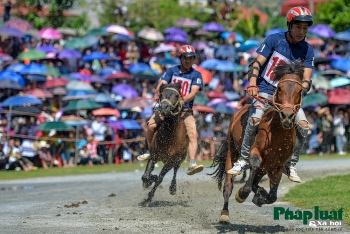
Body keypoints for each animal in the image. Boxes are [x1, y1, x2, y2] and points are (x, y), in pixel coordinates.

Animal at [209, 60, 304, 223]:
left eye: (300, 90)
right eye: (279, 88)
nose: (287, 115)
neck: (276, 134)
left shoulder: (277, 166)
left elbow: (272, 196)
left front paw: (260, 197)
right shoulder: (255, 152)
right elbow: (253, 164)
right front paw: (243, 193)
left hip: (265, 167)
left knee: (256, 181)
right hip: (232, 152)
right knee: (228, 185)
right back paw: (225, 214)